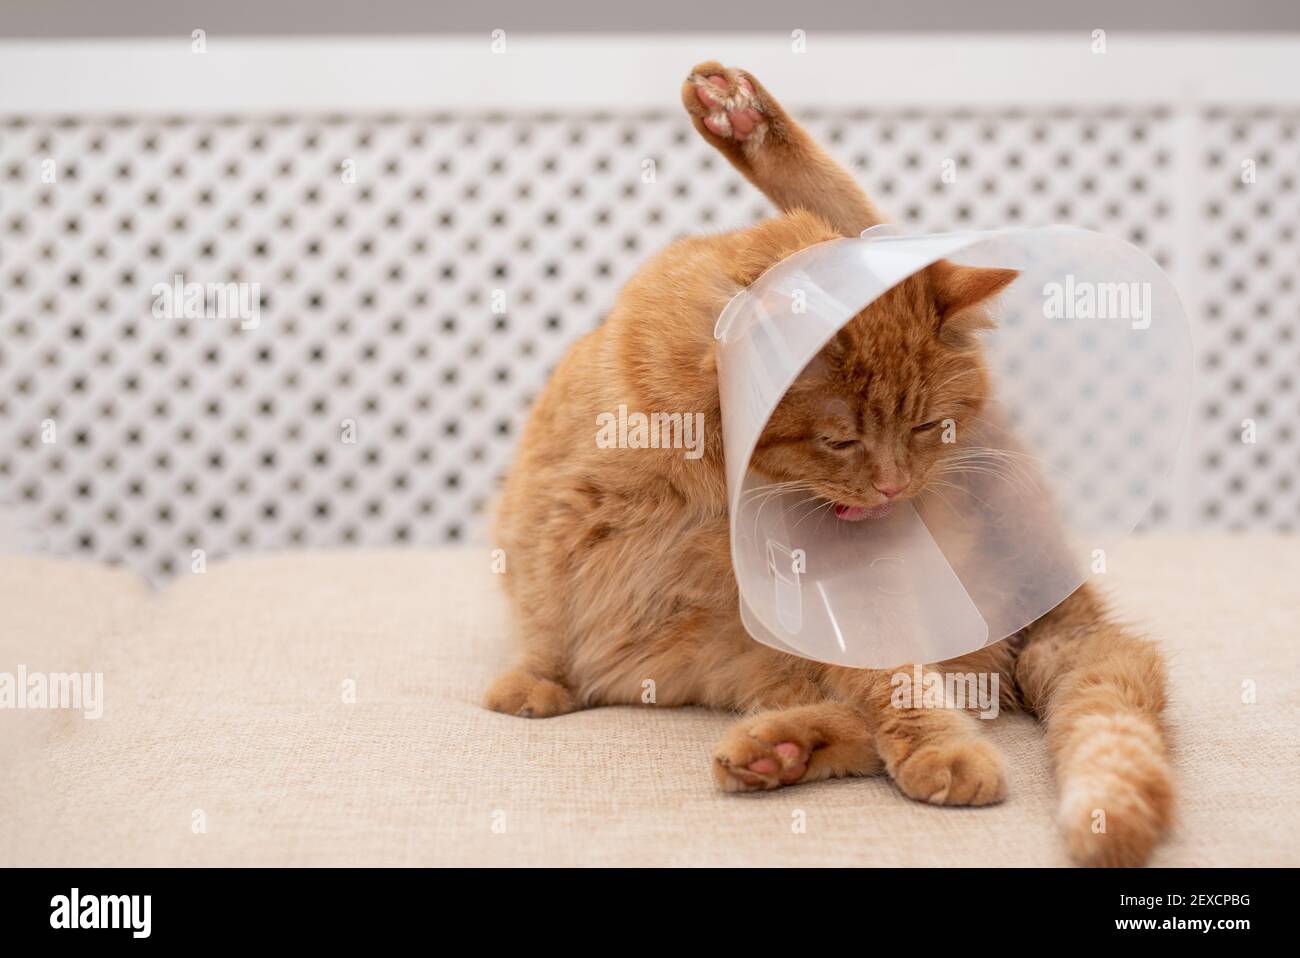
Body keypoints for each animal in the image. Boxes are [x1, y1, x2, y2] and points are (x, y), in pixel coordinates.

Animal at [488, 59, 1180, 868]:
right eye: (842, 440)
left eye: (928, 426)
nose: (894, 488)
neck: (710, 454)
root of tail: (1060, 592)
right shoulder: (557, 508)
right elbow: (545, 608)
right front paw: (537, 680)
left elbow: (898, 683)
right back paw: (778, 752)